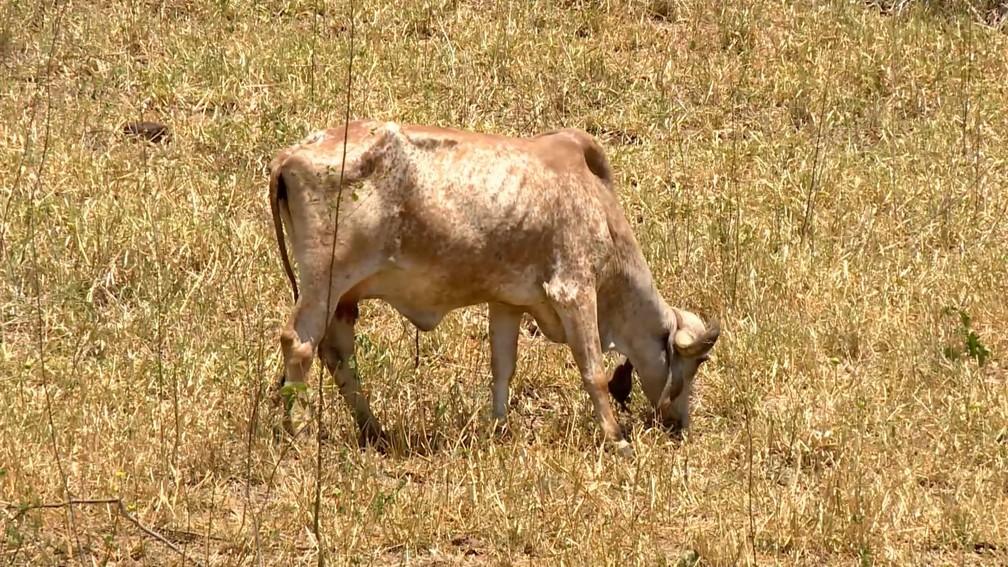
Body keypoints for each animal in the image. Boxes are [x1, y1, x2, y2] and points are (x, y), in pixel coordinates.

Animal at [268, 120, 717, 454]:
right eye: (695, 363)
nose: (680, 426)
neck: (602, 211)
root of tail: (292, 154)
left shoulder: (508, 304)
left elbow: (502, 368)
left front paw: (499, 430)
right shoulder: (574, 291)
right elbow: (593, 372)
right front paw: (617, 440)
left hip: (344, 298)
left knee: (338, 355)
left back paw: (374, 431)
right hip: (324, 284)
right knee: (300, 344)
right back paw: (301, 434)